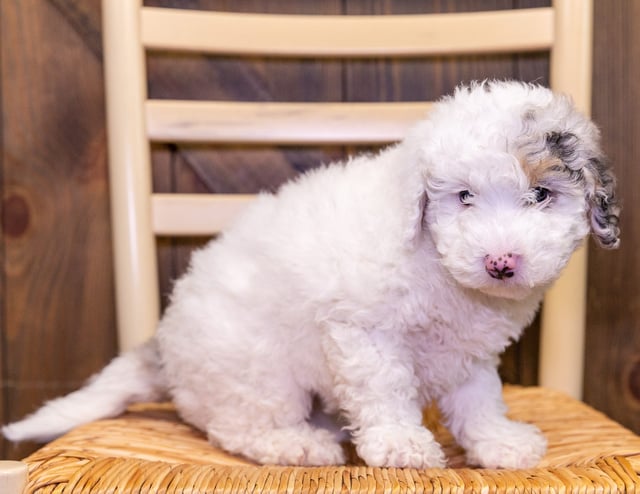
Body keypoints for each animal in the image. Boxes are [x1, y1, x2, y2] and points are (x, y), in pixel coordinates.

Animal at [2, 82, 616, 470]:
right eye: (464, 197)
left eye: (542, 195)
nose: (500, 262)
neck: (433, 260)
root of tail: (164, 344)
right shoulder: (364, 333)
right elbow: (386, 389)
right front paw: (401, 445)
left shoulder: (468, 354)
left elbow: (479, 401)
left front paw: (497, 444)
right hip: (258, 372)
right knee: (240, 428)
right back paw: (299, 445)